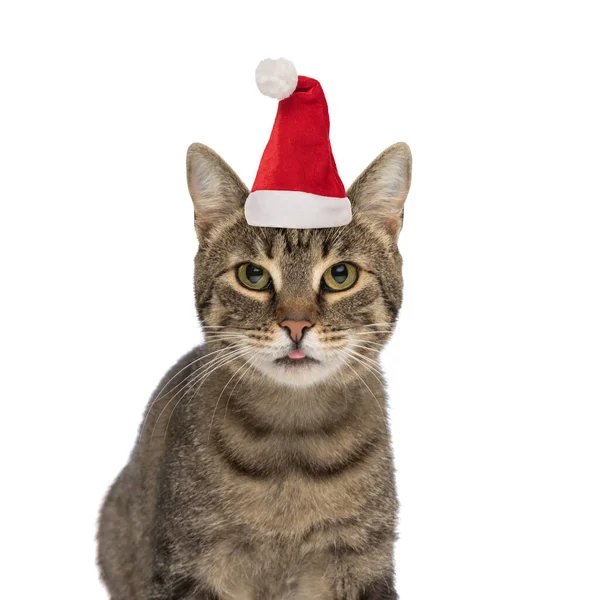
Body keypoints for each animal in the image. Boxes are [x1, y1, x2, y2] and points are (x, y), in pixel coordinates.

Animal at [97, 142, 412, 600]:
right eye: (253, 274)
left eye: (340, 274)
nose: (296, 325)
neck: (294, 442)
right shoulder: (189, 565)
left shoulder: (362, 559)